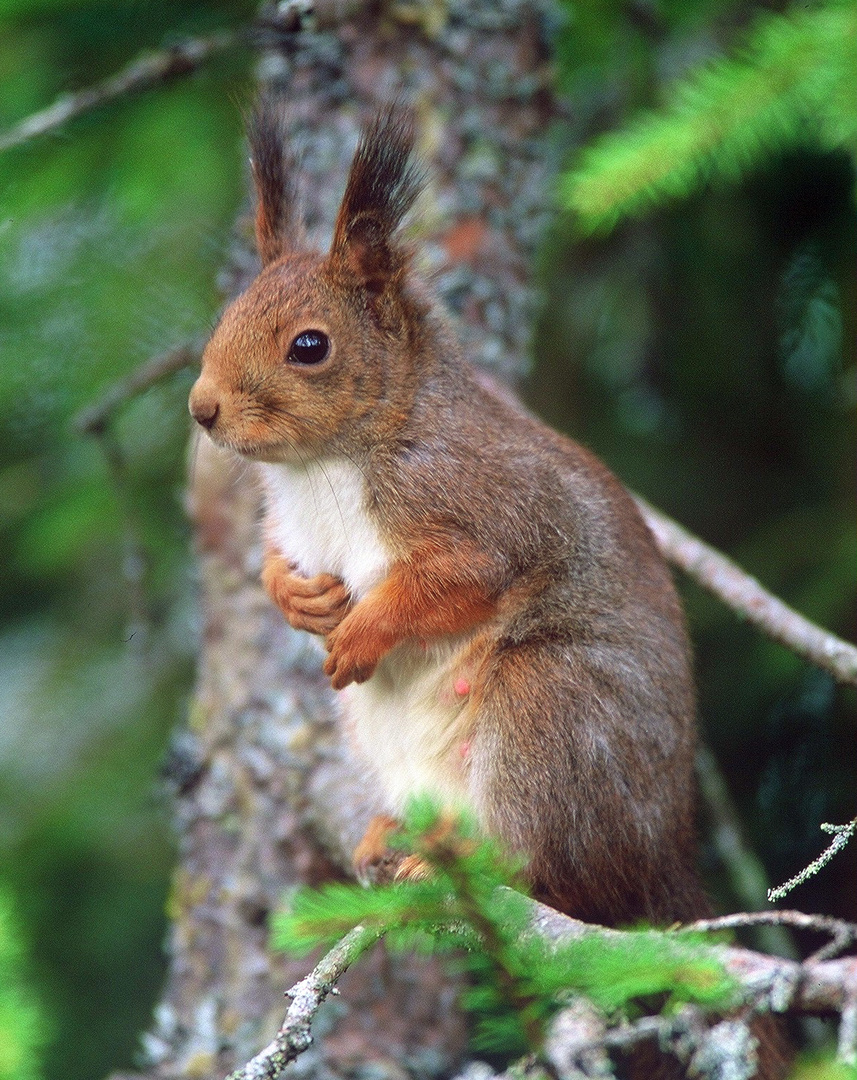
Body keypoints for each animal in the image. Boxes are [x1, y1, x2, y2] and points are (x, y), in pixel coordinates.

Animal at [188, 103, 708, 928]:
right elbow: (271, 563)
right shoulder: (288, 525)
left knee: (552, 873)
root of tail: (662, 868)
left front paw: (362, 632)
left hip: (550, 709)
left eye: (309, 345)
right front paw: (295, 598)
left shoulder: (482, 509)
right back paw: (398, 836)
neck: (321, 468)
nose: (201, 408)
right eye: (225, 315)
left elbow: (449, 584)